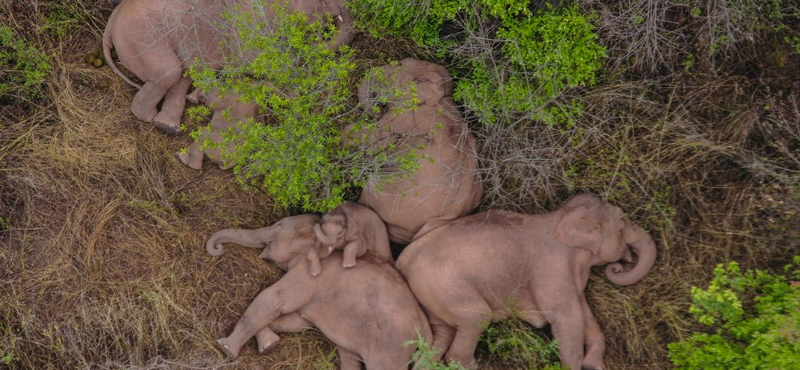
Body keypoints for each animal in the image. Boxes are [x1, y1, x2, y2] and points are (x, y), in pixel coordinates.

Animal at [103, 0, 354, 135]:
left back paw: (168, 126)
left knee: (182, 76)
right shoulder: (247, 23)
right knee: (170, 73)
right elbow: (255, 59)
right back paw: (149, 118)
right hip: (143, 37)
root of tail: (110, 24)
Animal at [205, 214, 432, 370]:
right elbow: (296, 322)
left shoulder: (309, 275)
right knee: (349, 357)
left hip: (391, 347)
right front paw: (269, 345)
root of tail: (426, 329)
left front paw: (225, 347)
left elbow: (274, 299)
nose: (218, 249)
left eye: (278, 226)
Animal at [394, 194, 656, 370]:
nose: (618, 266)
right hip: (445, 285)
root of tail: (403, 261)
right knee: (475, 319)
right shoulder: (551, 268)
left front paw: (593, 365)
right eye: (623, 222)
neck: (561, 215)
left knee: (440, 337)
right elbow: (566, 317)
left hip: (432, 295)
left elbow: (584, 314)